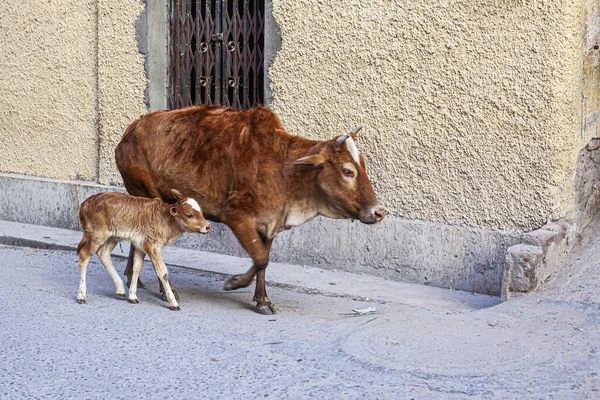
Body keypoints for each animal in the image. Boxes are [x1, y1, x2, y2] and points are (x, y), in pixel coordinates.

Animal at [75, 189, 211, 310]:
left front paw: (132, 297)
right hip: (97, 235)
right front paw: (173, 303)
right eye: (189, 215)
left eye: (201, 212)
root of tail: (85, 203)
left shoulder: (141, 246)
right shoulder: (153, 246)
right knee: (84, 255)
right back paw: (81, 296)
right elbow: (163, 272)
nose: (208, 226)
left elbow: (137, 268)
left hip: (112, 237)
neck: (164, 219)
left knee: (103, 254)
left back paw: (120, 289)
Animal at [116, 104, 384, 314]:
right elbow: (260, 258)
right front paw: (234, 283)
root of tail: (129, 132)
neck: (283, 169)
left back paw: (132, 278)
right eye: (348, 171)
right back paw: (165, 290)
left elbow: (263, 261)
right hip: (148, 195)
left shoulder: (269, 223)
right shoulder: (237, 217)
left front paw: (262, 300)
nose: (378, 212)